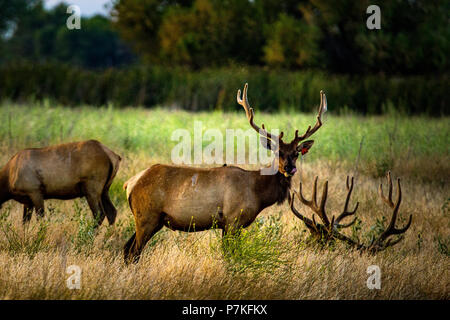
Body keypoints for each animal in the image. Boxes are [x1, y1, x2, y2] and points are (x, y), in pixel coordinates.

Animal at [124, 82, 326, 262]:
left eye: (296, 153)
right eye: (278, 152)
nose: (289, 168)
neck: (257, 193)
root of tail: (130, 184)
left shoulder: (227, 224)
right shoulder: (233, 219)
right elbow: (231, 255)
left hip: (152, 220)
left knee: (127, 248)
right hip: (146, 216)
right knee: (133, 251)